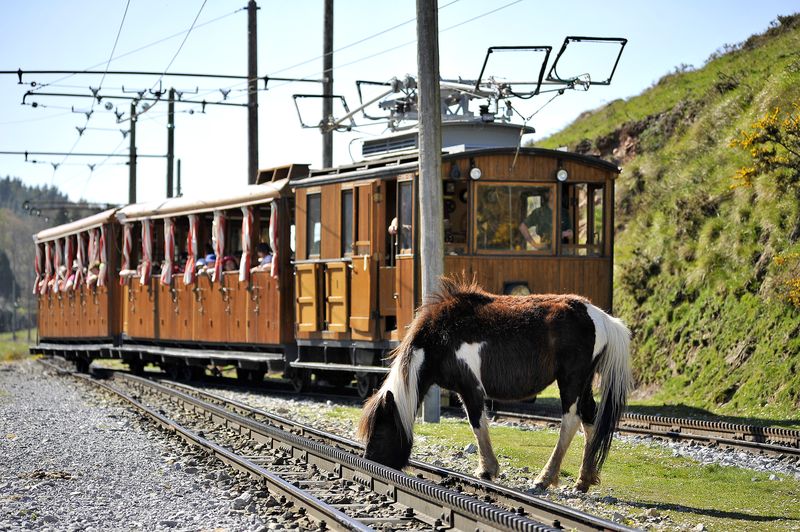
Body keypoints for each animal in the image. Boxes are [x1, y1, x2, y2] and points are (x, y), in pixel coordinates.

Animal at [356, 278, 632, 490]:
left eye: (380, 429)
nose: (368, 463)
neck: (439, 338)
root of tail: (600, 317)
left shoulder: (470, 388)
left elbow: (477, 424)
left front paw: (487, 470)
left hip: (571, 381)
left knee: (571, 421)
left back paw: (544, 479)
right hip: (583, 383)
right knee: (589, 419)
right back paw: (584, 480)